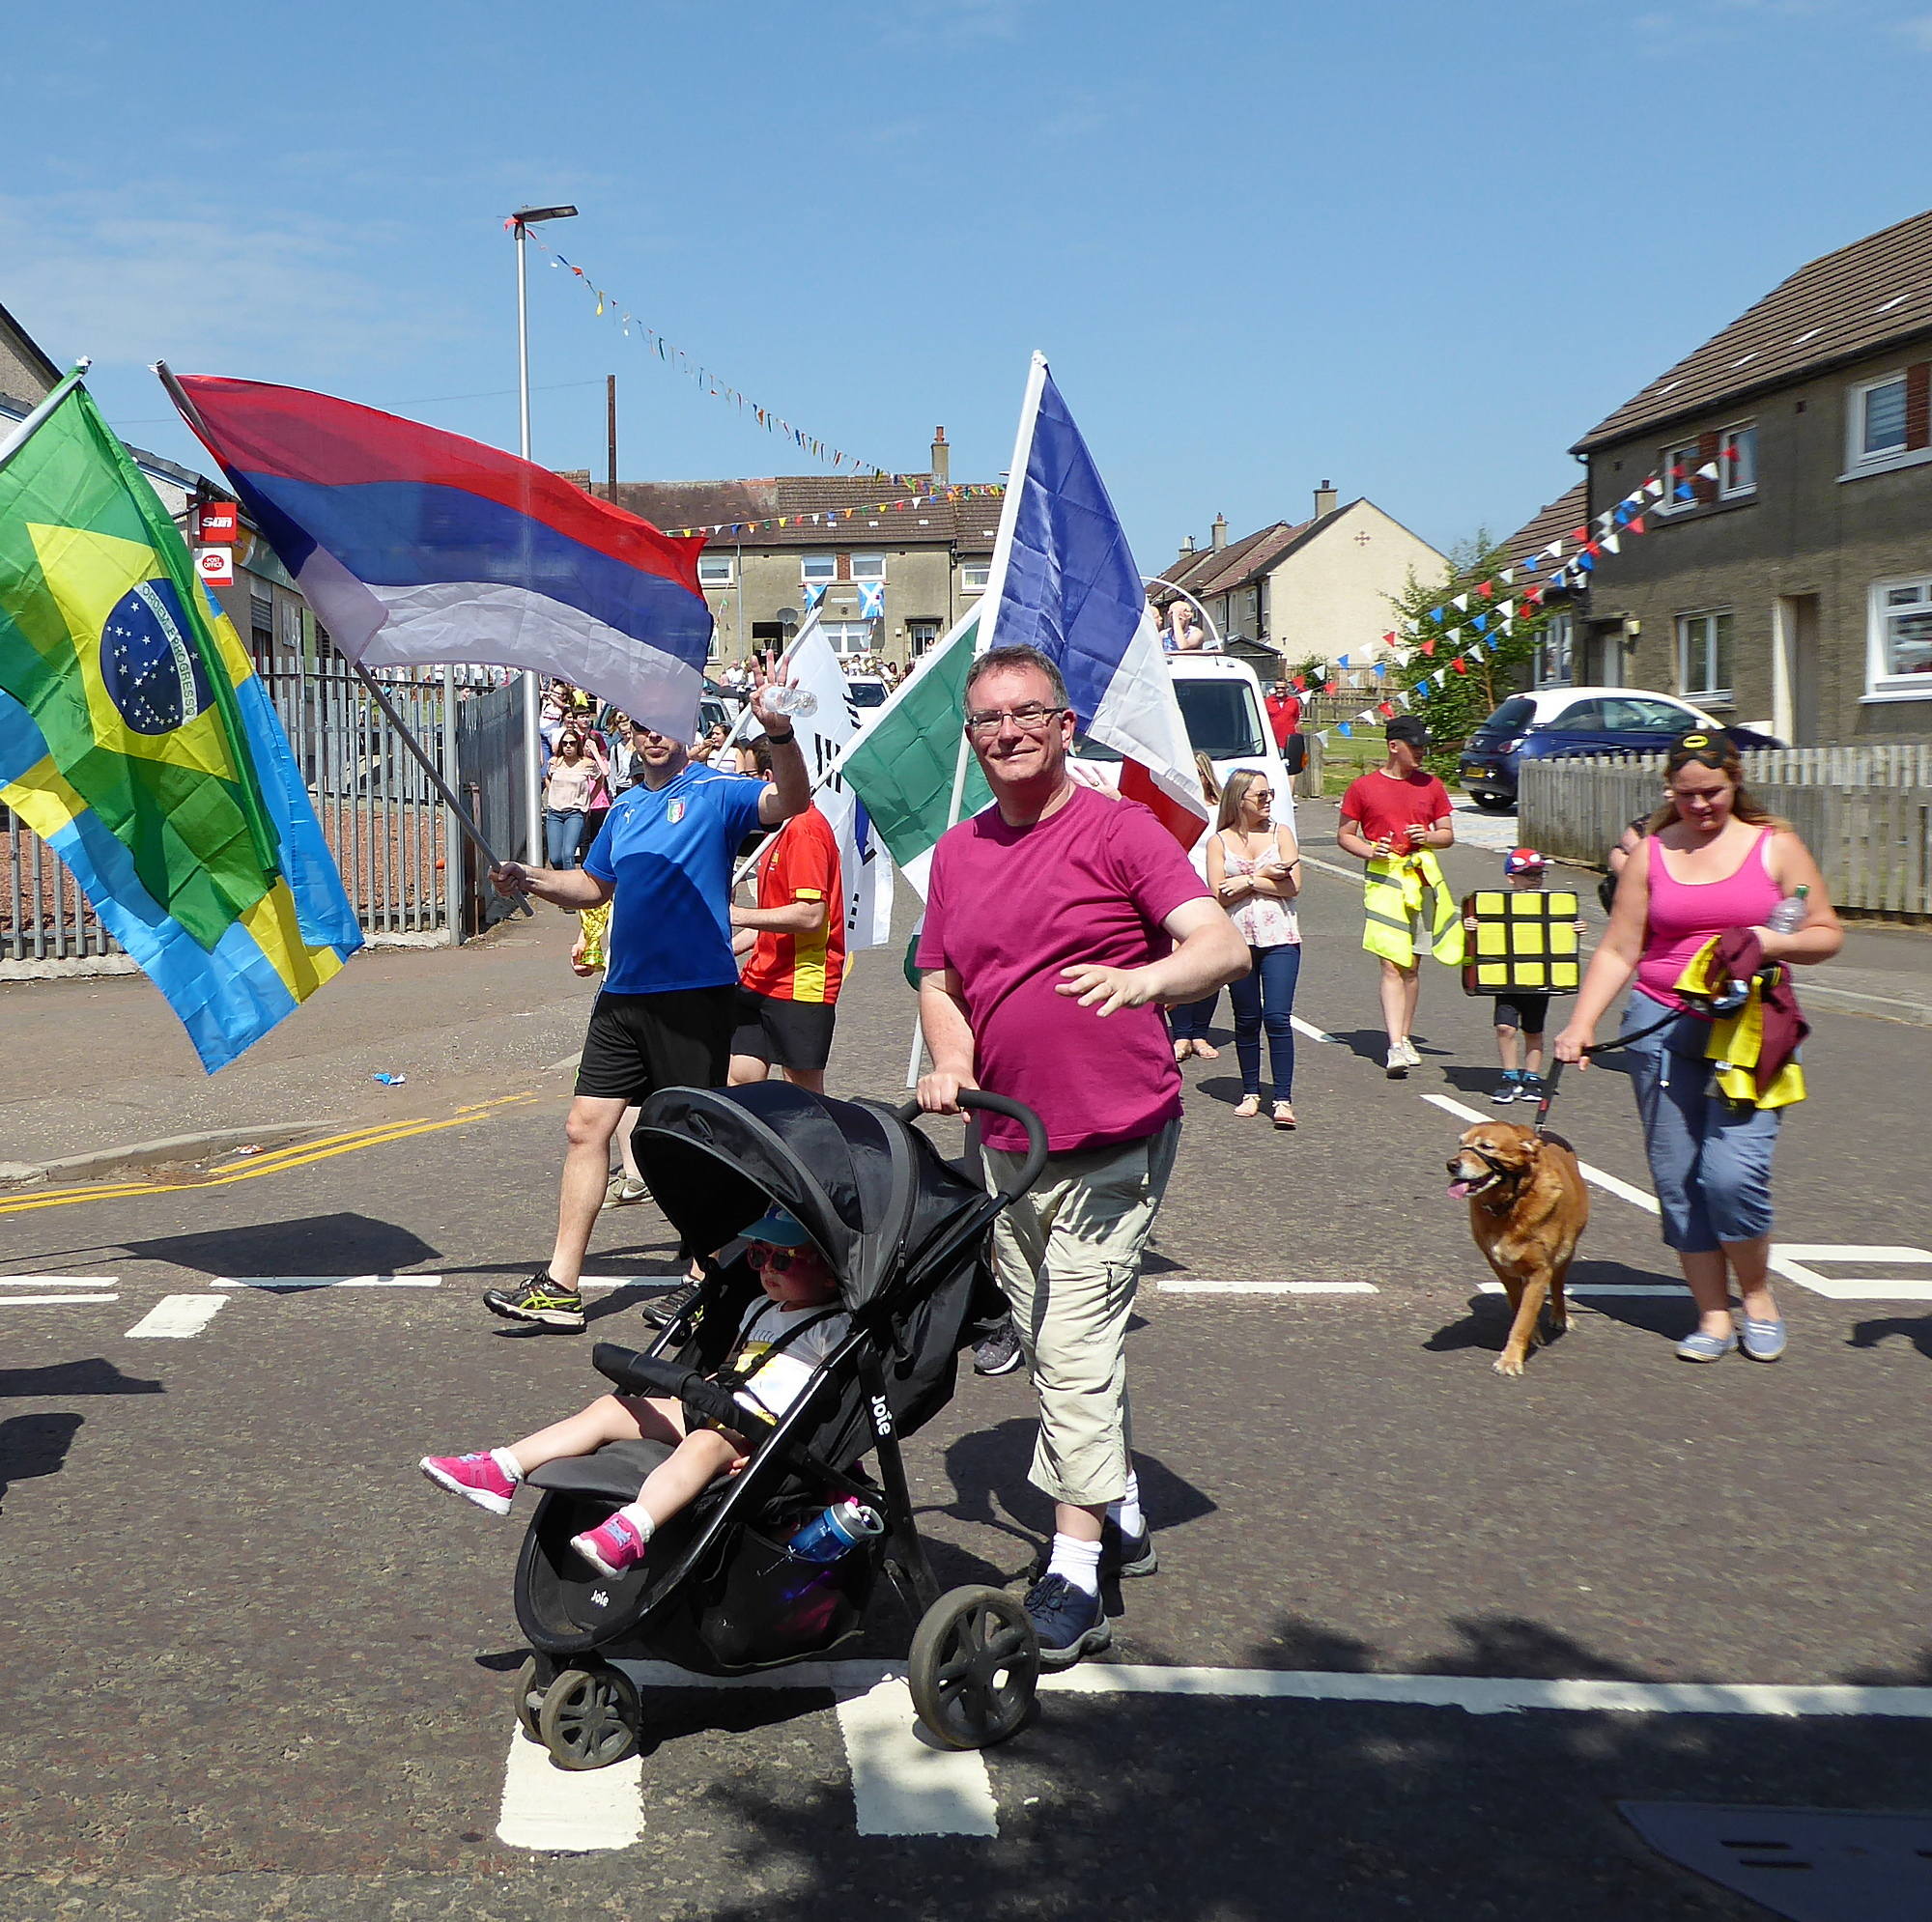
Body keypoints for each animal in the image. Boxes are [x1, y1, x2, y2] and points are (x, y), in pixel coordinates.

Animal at [1453, 1120, 1584, 1375]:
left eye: (1487, 1146)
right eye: (1461, 1144)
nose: (1451, 1165)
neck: (1511, 1204)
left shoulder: (1540, 1272)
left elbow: (1524, 1318)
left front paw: (1510, 1360)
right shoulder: (1502, 1268)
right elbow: (1519, 1307)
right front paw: (1531, 1337)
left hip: (1565, 1255)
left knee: (1558, 1287)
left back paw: (1560, 1316)